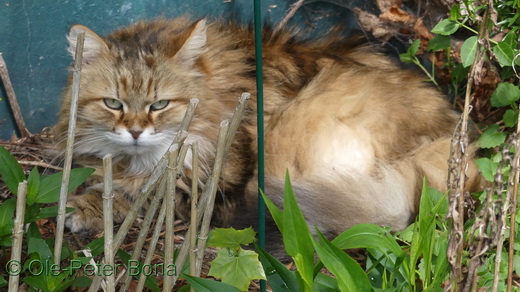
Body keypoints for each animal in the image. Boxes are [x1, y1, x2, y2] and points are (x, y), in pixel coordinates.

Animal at [53, 16, 484, 244]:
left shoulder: (207, 186)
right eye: (113, 103)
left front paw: (81, 208)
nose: (135, 132)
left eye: (160, 105)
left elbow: (137, 196)